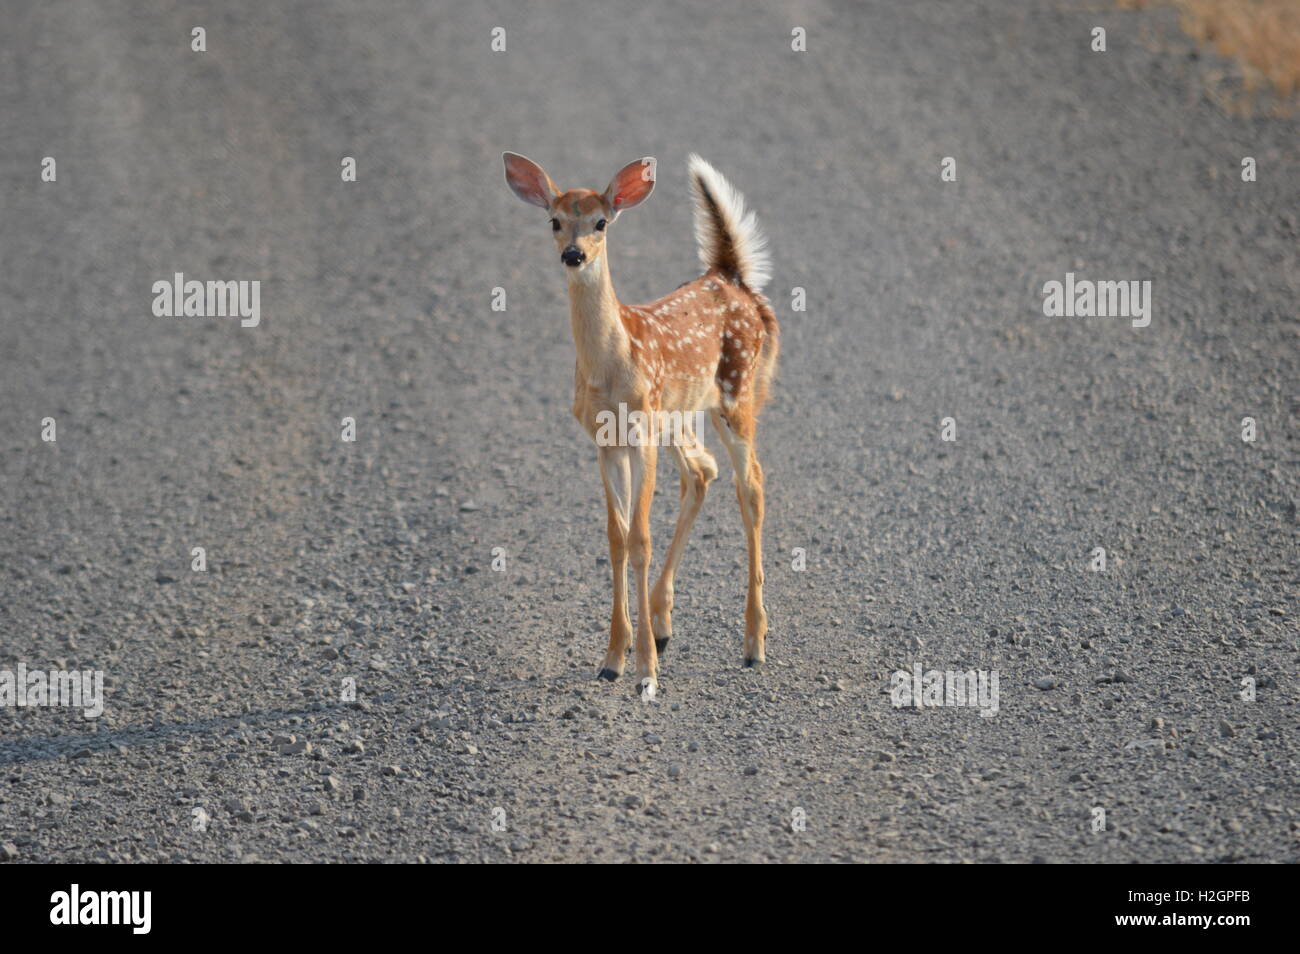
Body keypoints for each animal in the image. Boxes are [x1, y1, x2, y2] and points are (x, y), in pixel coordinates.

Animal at [503, 152, 779, 695]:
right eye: (554, 220)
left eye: (601, 222)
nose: (574, 255)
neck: (611, 366)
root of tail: (730, 277)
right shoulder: (604, 440)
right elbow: (616, 536)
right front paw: (614, 657)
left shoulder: (642, 433)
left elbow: (640, 539)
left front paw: (646, 669)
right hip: (679, 414)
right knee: (702, 472)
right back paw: (663, 621)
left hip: (737, 393)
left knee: (752, 486)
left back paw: (754, 643)